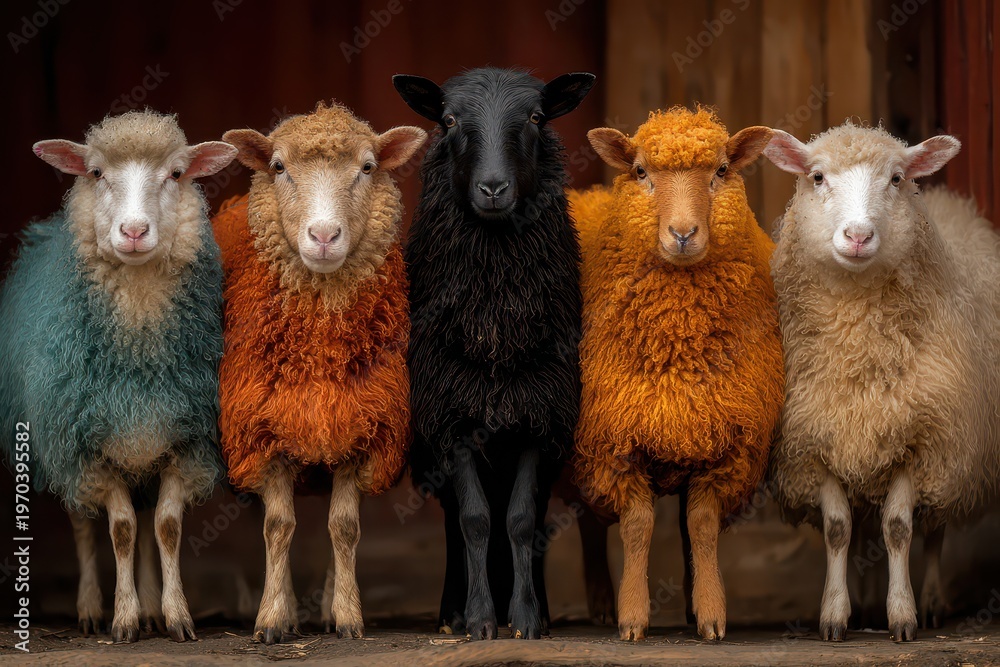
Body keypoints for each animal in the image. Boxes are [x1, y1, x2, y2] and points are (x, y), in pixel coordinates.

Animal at [0, 110, 237, 643]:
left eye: (176, 173)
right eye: (95, 173)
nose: (133, 230)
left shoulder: (187, 442)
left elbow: (164, 528)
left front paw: (174, 615)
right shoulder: (86, 448)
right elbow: (120, 529)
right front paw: (122, 619)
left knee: (148, 526)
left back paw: (150, 606)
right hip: (60, 444)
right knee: (84, 525)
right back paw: (91, 608)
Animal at [214, 101, 426, 644]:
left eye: (368, 167)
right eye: (279, 167)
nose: (325, 236)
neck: (319, 352)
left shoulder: (362, 428)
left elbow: (344, 527)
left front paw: (348, 615)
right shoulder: (262, 430)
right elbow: (278, 527)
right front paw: (271, 618)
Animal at [393, 67, 595, 640]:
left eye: (535, 117)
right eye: (448, 120)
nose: (492, 187)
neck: (496, 324)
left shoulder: (539, 414)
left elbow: (521, 521)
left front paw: (525, 618)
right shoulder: (453, 417)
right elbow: (475, 521)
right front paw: (481, 620)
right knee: (452, 525)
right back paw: (453, 611)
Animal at [571, 107, 784, 642]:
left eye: (722, 170)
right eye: (641, 172)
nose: (683, 233)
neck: (678, 342)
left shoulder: (727, 444)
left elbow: (701, 526)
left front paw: (710, 612)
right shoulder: (612, 442)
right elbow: (638, 526)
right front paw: (631, 617)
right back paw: (599, 603)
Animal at [763, 122, 1000, 642]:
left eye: (895, 178)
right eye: (816, 177)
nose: (858, 235)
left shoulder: (920, 436)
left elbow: (898, 528)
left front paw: (902, 615)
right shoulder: (813, 441)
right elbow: (837, 529)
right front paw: (835, 615)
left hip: (951, 453)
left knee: (934, 529)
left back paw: (930, 601)